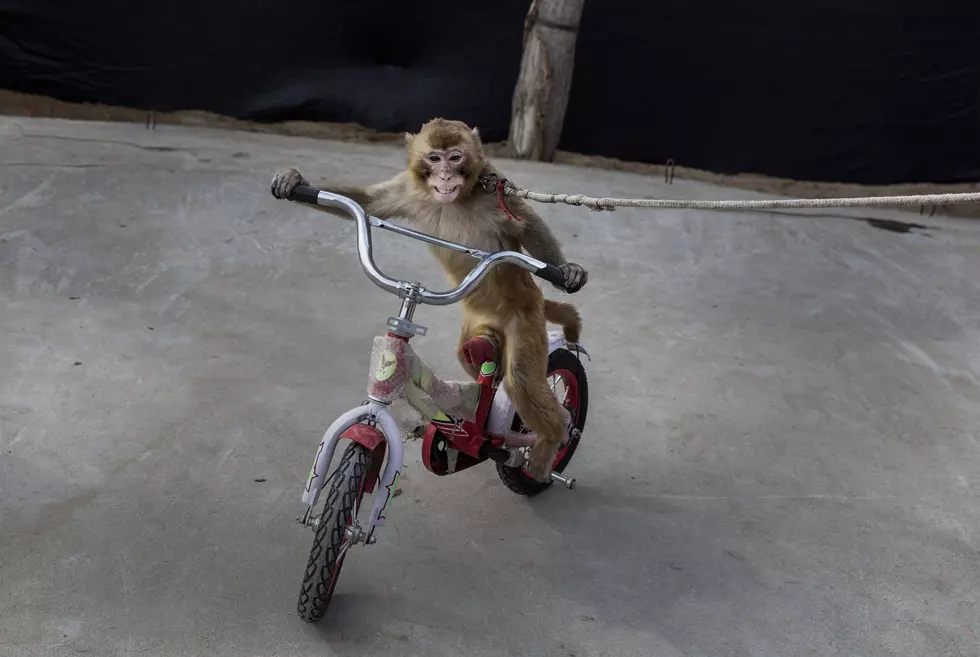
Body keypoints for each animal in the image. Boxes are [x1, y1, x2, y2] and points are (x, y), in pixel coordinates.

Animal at [271, 118, 587, 482]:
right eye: (434, 158)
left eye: (455, 157)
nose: (445, 176)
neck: (456, 200)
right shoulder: (410, 189)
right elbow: (369, 203)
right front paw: (294, 181)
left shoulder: (496, 193)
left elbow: (527, 225)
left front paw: (568, 270)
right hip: (479, 325)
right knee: (475, 359)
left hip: (527, 315)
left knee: (522, 381)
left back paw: (550, 441)